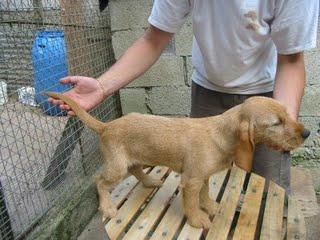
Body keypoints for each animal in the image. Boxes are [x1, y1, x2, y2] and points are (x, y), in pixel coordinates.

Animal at [46, 92, 308, 229]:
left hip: (132, 158)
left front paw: (210, 206)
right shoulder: (191, 180)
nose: (306, 133)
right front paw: (198, 219)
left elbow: (204, 194)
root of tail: (107, 125)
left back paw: (150, 182)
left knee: (137, 169)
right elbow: (191, 202)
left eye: (287, 114)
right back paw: (108, 206)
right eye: (276, 123)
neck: (221, 132)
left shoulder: (202, 177)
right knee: (99, 181)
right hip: (116, 167)